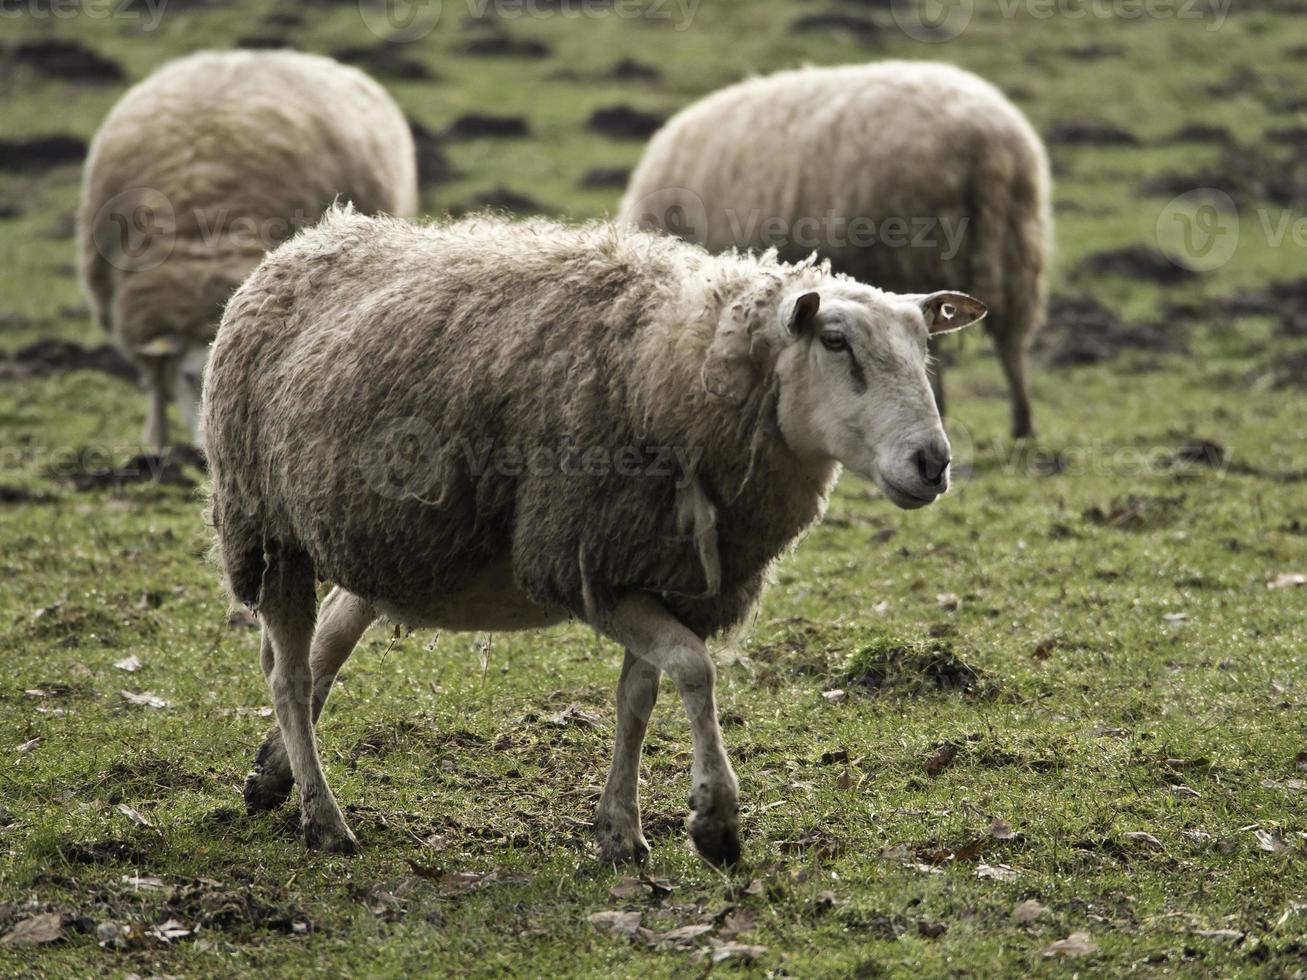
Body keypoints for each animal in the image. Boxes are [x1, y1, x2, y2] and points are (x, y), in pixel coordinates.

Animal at [79, 50, 415, 452]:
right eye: (189, 377)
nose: (207, 448)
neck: (204, 233)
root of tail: (257, 53)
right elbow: (157, 388)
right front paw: (156, 443)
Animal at [198, 207, 982, 857]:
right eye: (835, 341)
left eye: (924, 346)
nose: (932, 463)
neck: (679, 360)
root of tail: (304, 241)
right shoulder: (580, 562)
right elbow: (694, 668)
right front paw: (714, 821)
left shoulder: (657, 569)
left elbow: (639, 697)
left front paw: (620, 832)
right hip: (265, 529)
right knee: (289, 675)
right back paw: (324, 819)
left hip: (383, 544)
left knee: (328, 639)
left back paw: (273, 776)